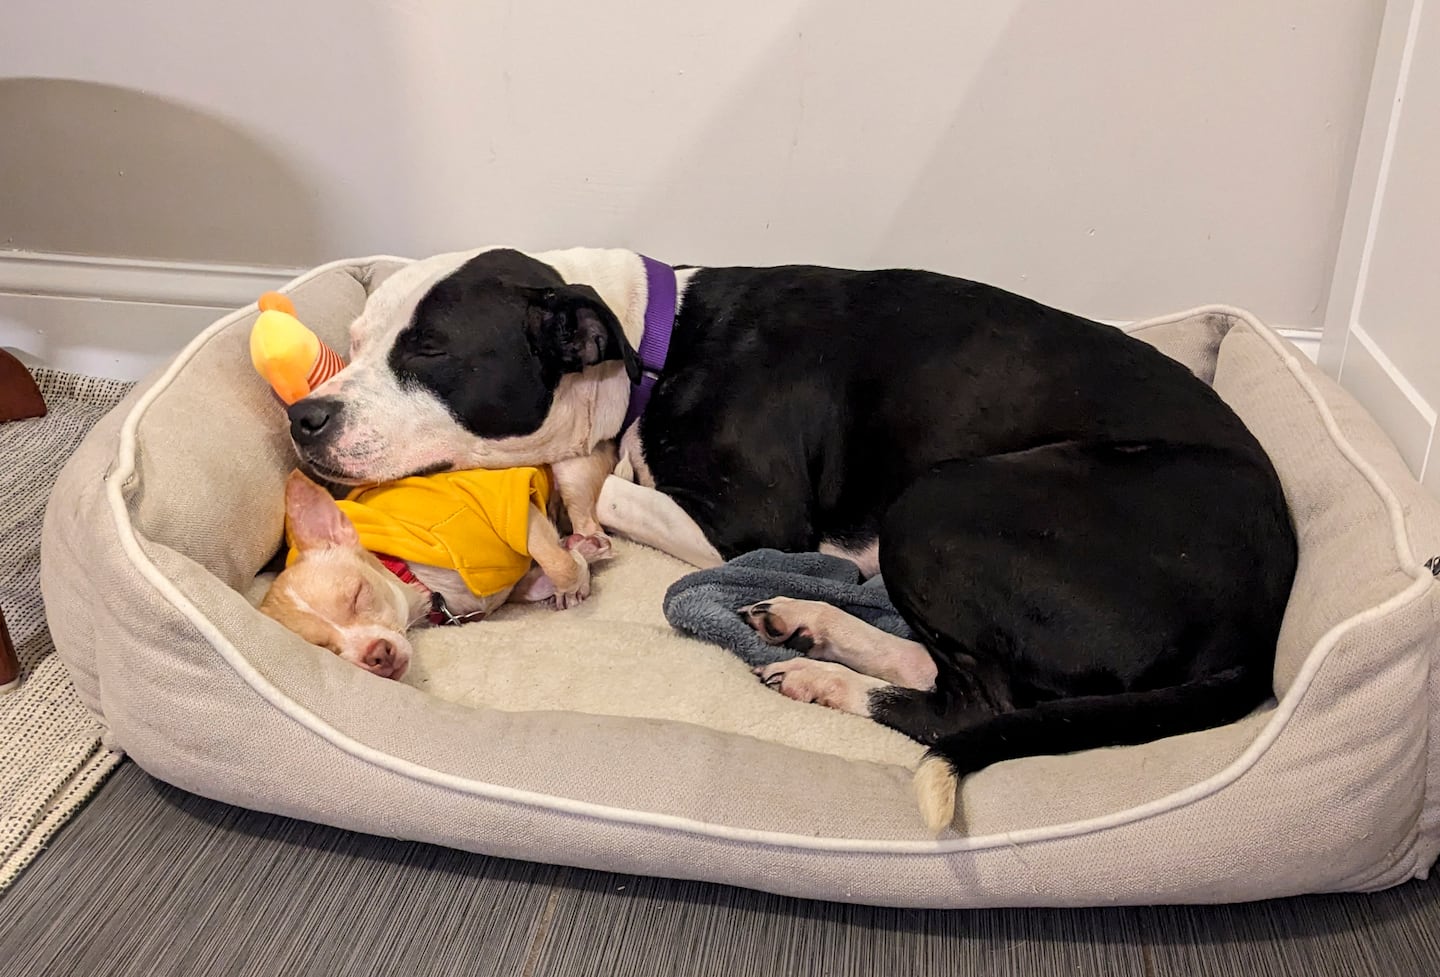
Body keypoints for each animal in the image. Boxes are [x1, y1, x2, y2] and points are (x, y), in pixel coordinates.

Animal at [286, 249, 1301, 830]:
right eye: (359, 337)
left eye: (429, 352)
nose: (302, 418)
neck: (652, 339)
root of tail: (1266, 621)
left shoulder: (753, 521)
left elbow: (606, 480)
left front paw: (580, 496)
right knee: (946, 669)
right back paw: (816, 631)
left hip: (937, 505)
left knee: (971, 706)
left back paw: (829, 674)